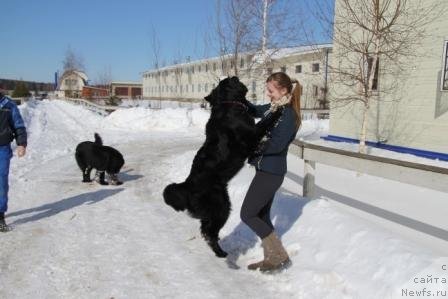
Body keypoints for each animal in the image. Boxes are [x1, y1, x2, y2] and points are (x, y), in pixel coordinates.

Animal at [163, 77, 282, 258]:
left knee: (205, 229)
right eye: (229, 81)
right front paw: (278, 109)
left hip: (218, 207)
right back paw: (221, 253)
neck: (229, 104)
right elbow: (264, 123)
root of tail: (187, 186)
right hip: (222, 207)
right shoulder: (251, 135)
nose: (234, 76)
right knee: (209, 232)